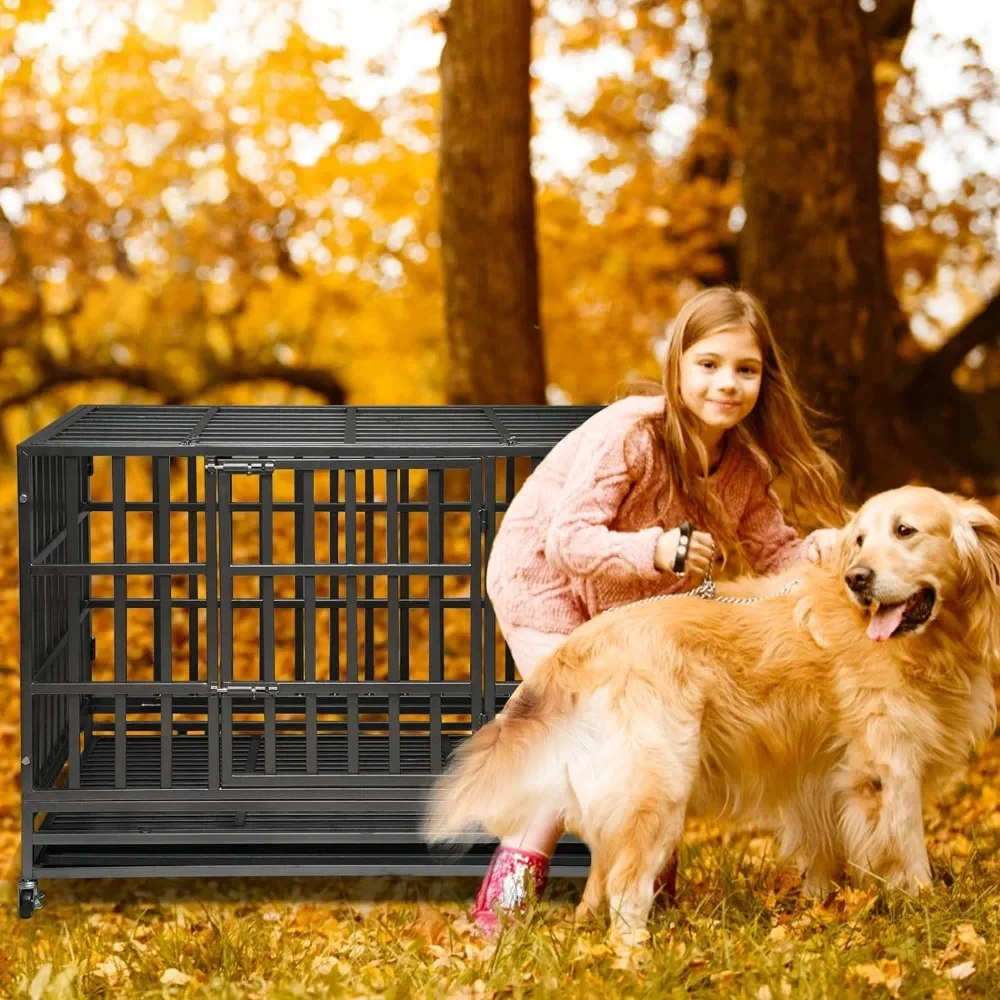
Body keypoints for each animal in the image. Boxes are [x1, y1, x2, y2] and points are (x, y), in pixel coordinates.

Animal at [422, 488, 1000, 940]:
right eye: (860, 540)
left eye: (905, 531)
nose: (857, 578)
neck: (930, 643)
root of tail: (579, 645)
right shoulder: (888, 770)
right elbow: (909, 851)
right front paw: (929, 912)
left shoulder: (822, 775)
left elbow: (826, 854)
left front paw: (823, 910)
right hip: (656, 783)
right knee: (626, 887)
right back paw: (635, 957)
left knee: (602, 874)